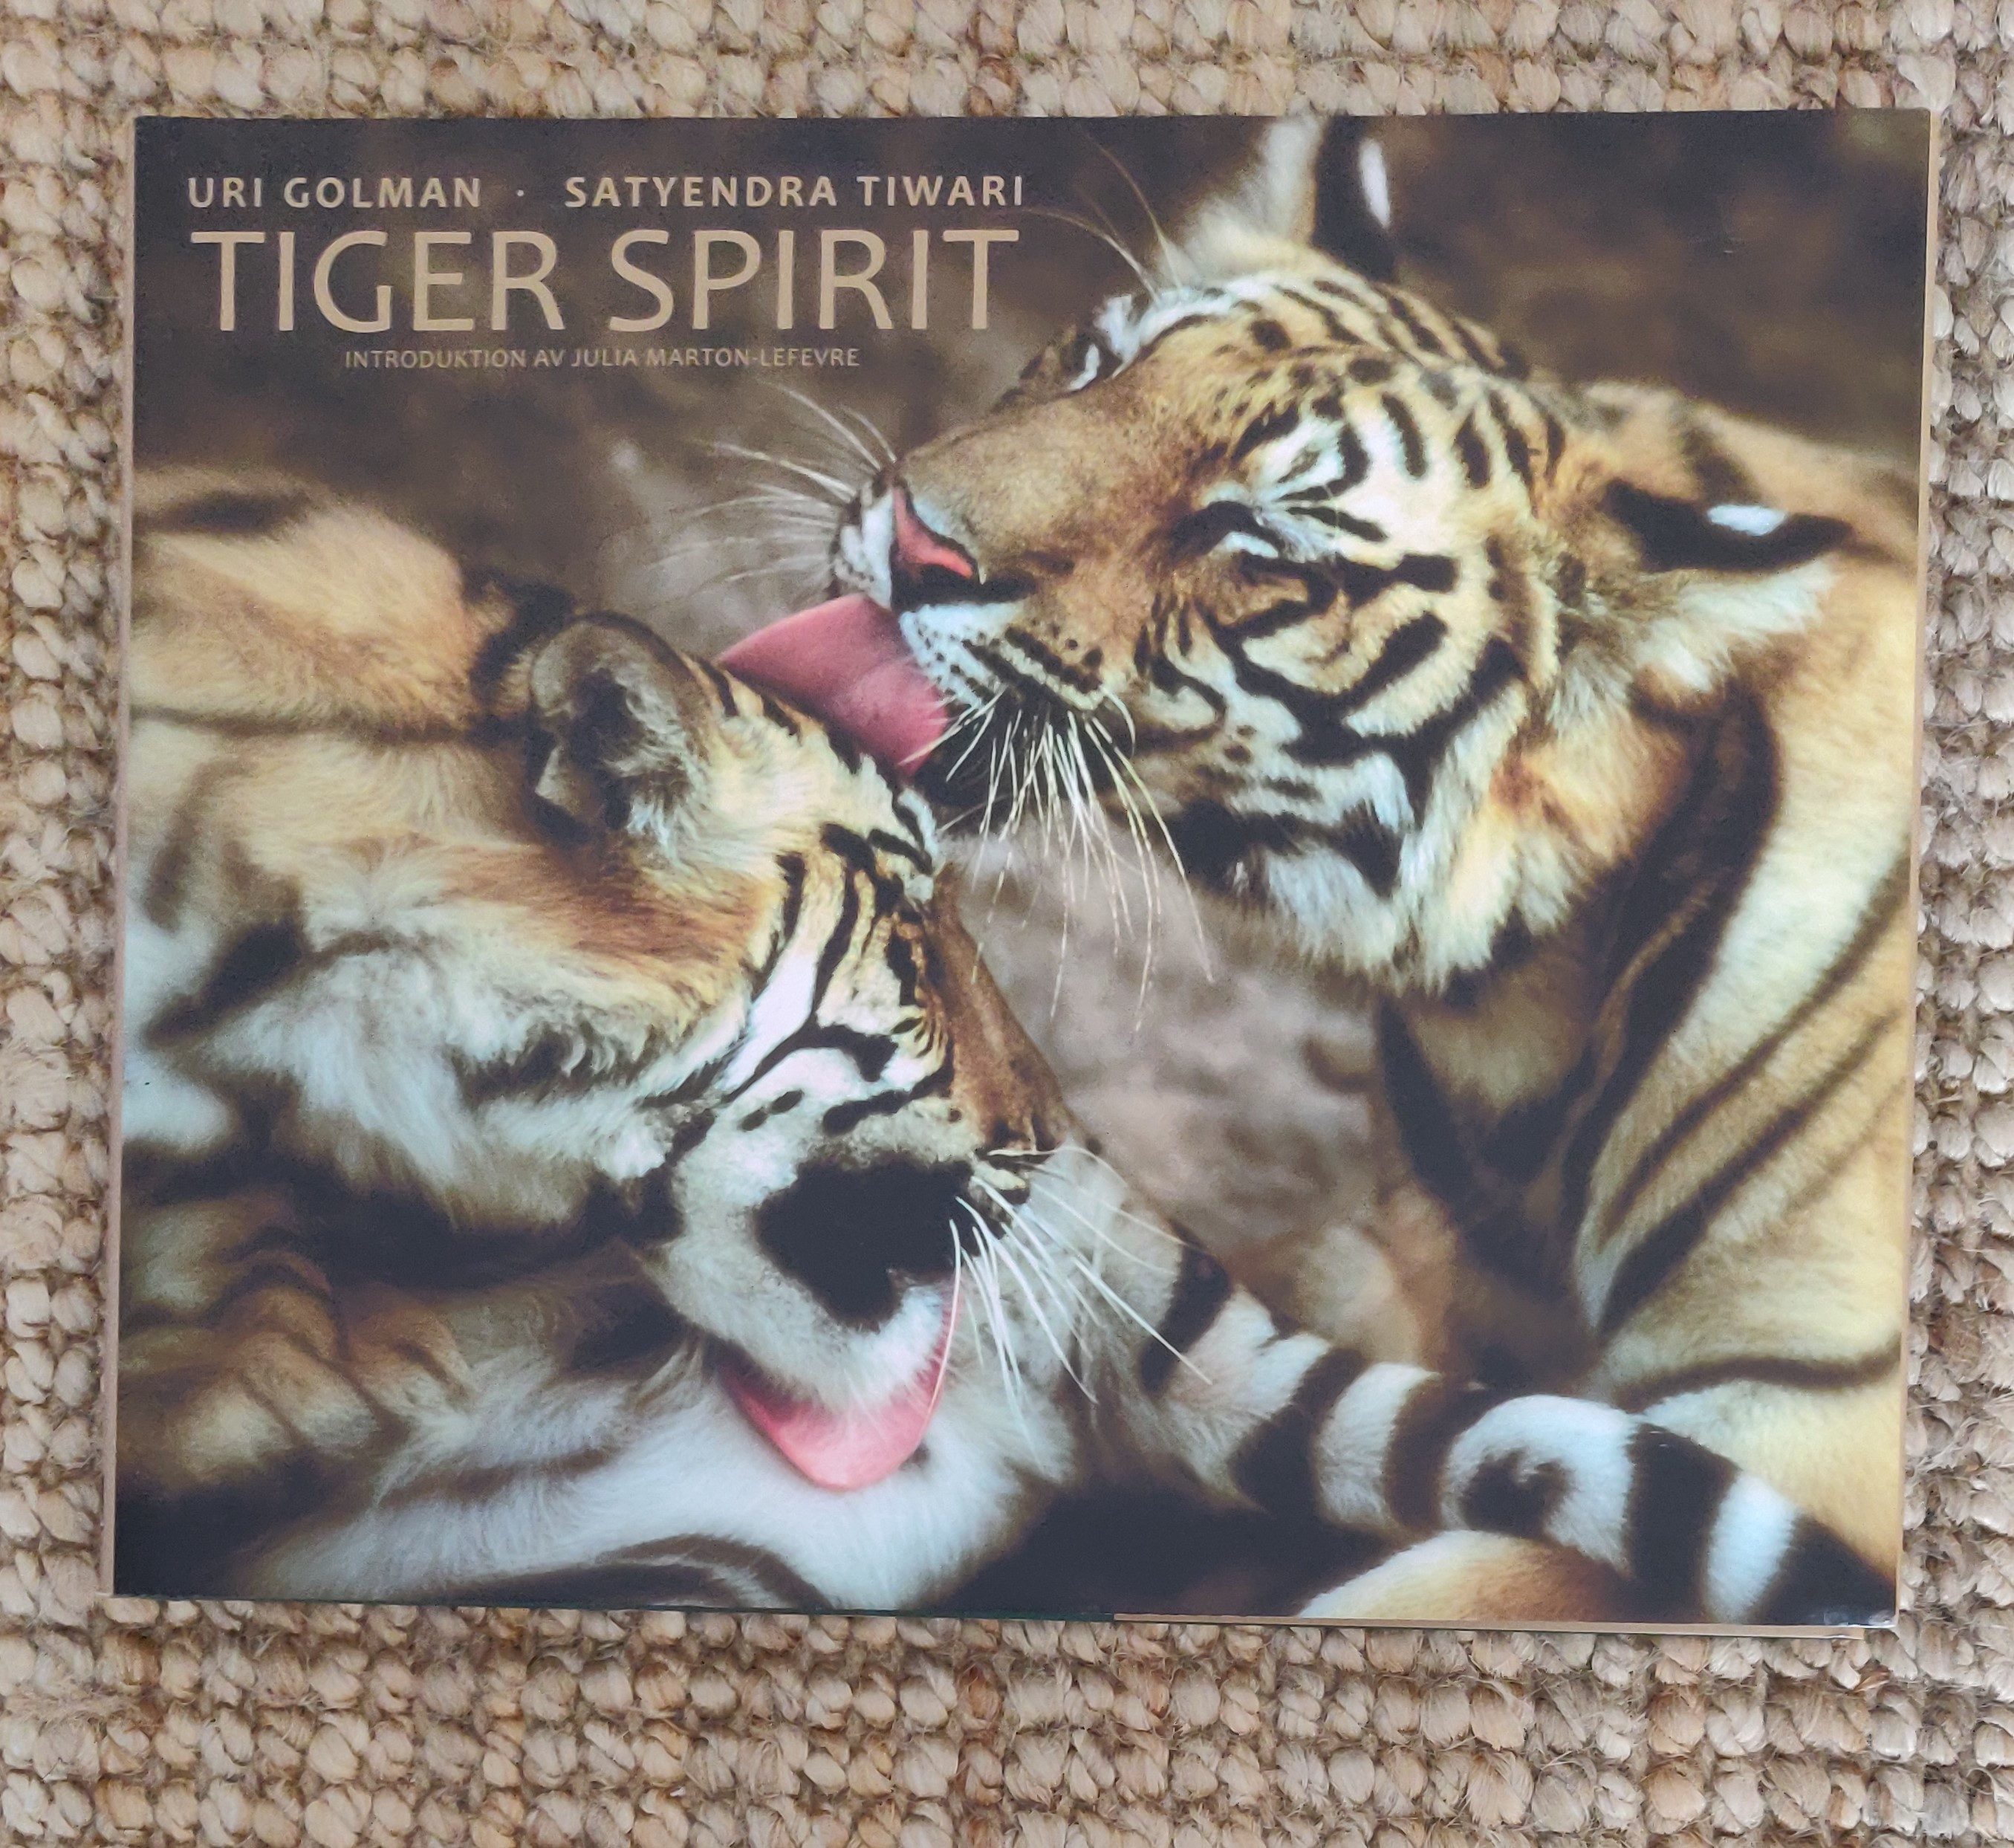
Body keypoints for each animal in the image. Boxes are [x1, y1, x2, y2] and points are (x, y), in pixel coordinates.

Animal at [728, 119, 1919, 1620]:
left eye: (1252, 535)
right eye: (1096, 360)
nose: (915, 544)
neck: (1518, 1002)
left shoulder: (1803, 1422)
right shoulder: (1416, 1284)